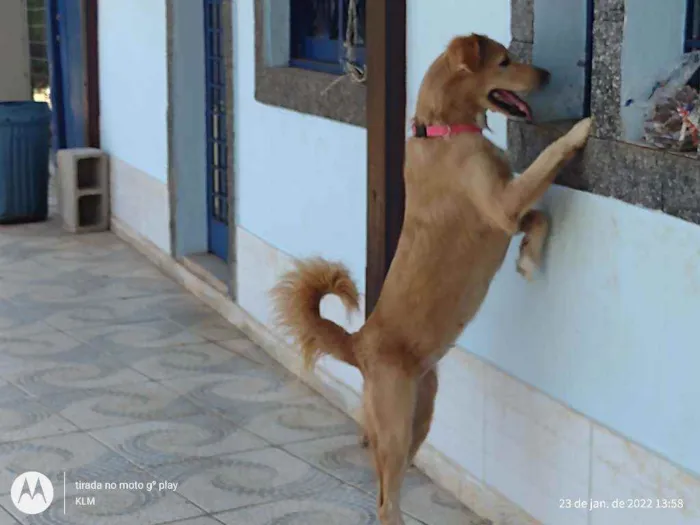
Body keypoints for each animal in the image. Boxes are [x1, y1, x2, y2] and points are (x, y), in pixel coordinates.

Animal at [272, 33, 592, 524]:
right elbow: (546, 163)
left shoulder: (504, 215)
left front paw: (528, 260)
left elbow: (539, 218)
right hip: (397, 426)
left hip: (422, 414)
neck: (444, 131)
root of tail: (358, 343)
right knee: (386, 502)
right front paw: (578, 131)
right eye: (505, 61)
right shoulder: (502, 204)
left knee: (386, 487)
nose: (548, 75)